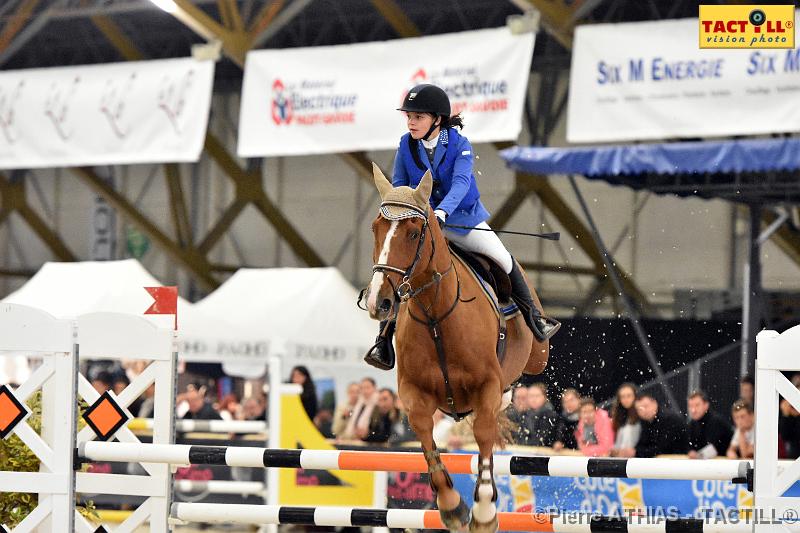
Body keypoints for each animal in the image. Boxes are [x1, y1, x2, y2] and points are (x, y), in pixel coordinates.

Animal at [364, 164, 548, 528]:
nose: (380, 302)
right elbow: (426, 439)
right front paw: (452, 506)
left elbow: (485, 433)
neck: (436, 315)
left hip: (538, 356)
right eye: (377, 228)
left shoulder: (486, 386)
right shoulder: (414, 393)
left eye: (413, 233)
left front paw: (485, 510)